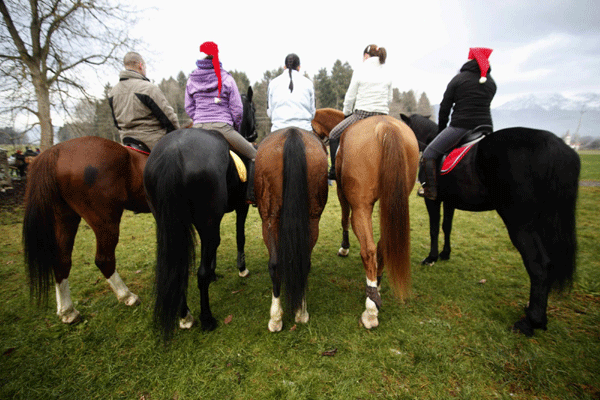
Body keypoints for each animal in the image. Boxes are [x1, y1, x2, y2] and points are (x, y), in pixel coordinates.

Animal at [24, 136, 149, 324]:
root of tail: (56, 150)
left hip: (65, 218)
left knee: (61, 261)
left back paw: (68, 312)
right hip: (105, 222)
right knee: (104, 260)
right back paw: (127, 296)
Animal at [146, 86, 258, 338]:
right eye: (254, 109)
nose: (255, 134)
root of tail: (173, 152)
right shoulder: (240, 208)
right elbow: (240, 236)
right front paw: (242, 268)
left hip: (172, 225)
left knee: (179, 269)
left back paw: (185, 315)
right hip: (206, 221)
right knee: (200, 273)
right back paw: (207, 319)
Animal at [253, 127, 328, 332]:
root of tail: (292, 132)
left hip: (269, 220)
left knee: (275, 265)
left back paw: (277, 318)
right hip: (311, 220)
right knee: (301, 263)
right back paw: (299, 312)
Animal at [312, 108, 420, 328]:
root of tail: (386, 126)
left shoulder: (342, 193)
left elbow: (344, 219)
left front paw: (344, 248)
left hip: (361, 207)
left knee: (368, 250)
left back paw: (370, 309)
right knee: (383, 244)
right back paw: (376, 286)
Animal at [400, 114, 580, 336]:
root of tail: (554, 145)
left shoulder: (433, 199)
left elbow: (434, 228)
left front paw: (431, 257)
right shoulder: (450, 201)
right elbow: (446, 227)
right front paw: (445, 254)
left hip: (520, 223)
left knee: (538, 265)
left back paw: (531, 321)